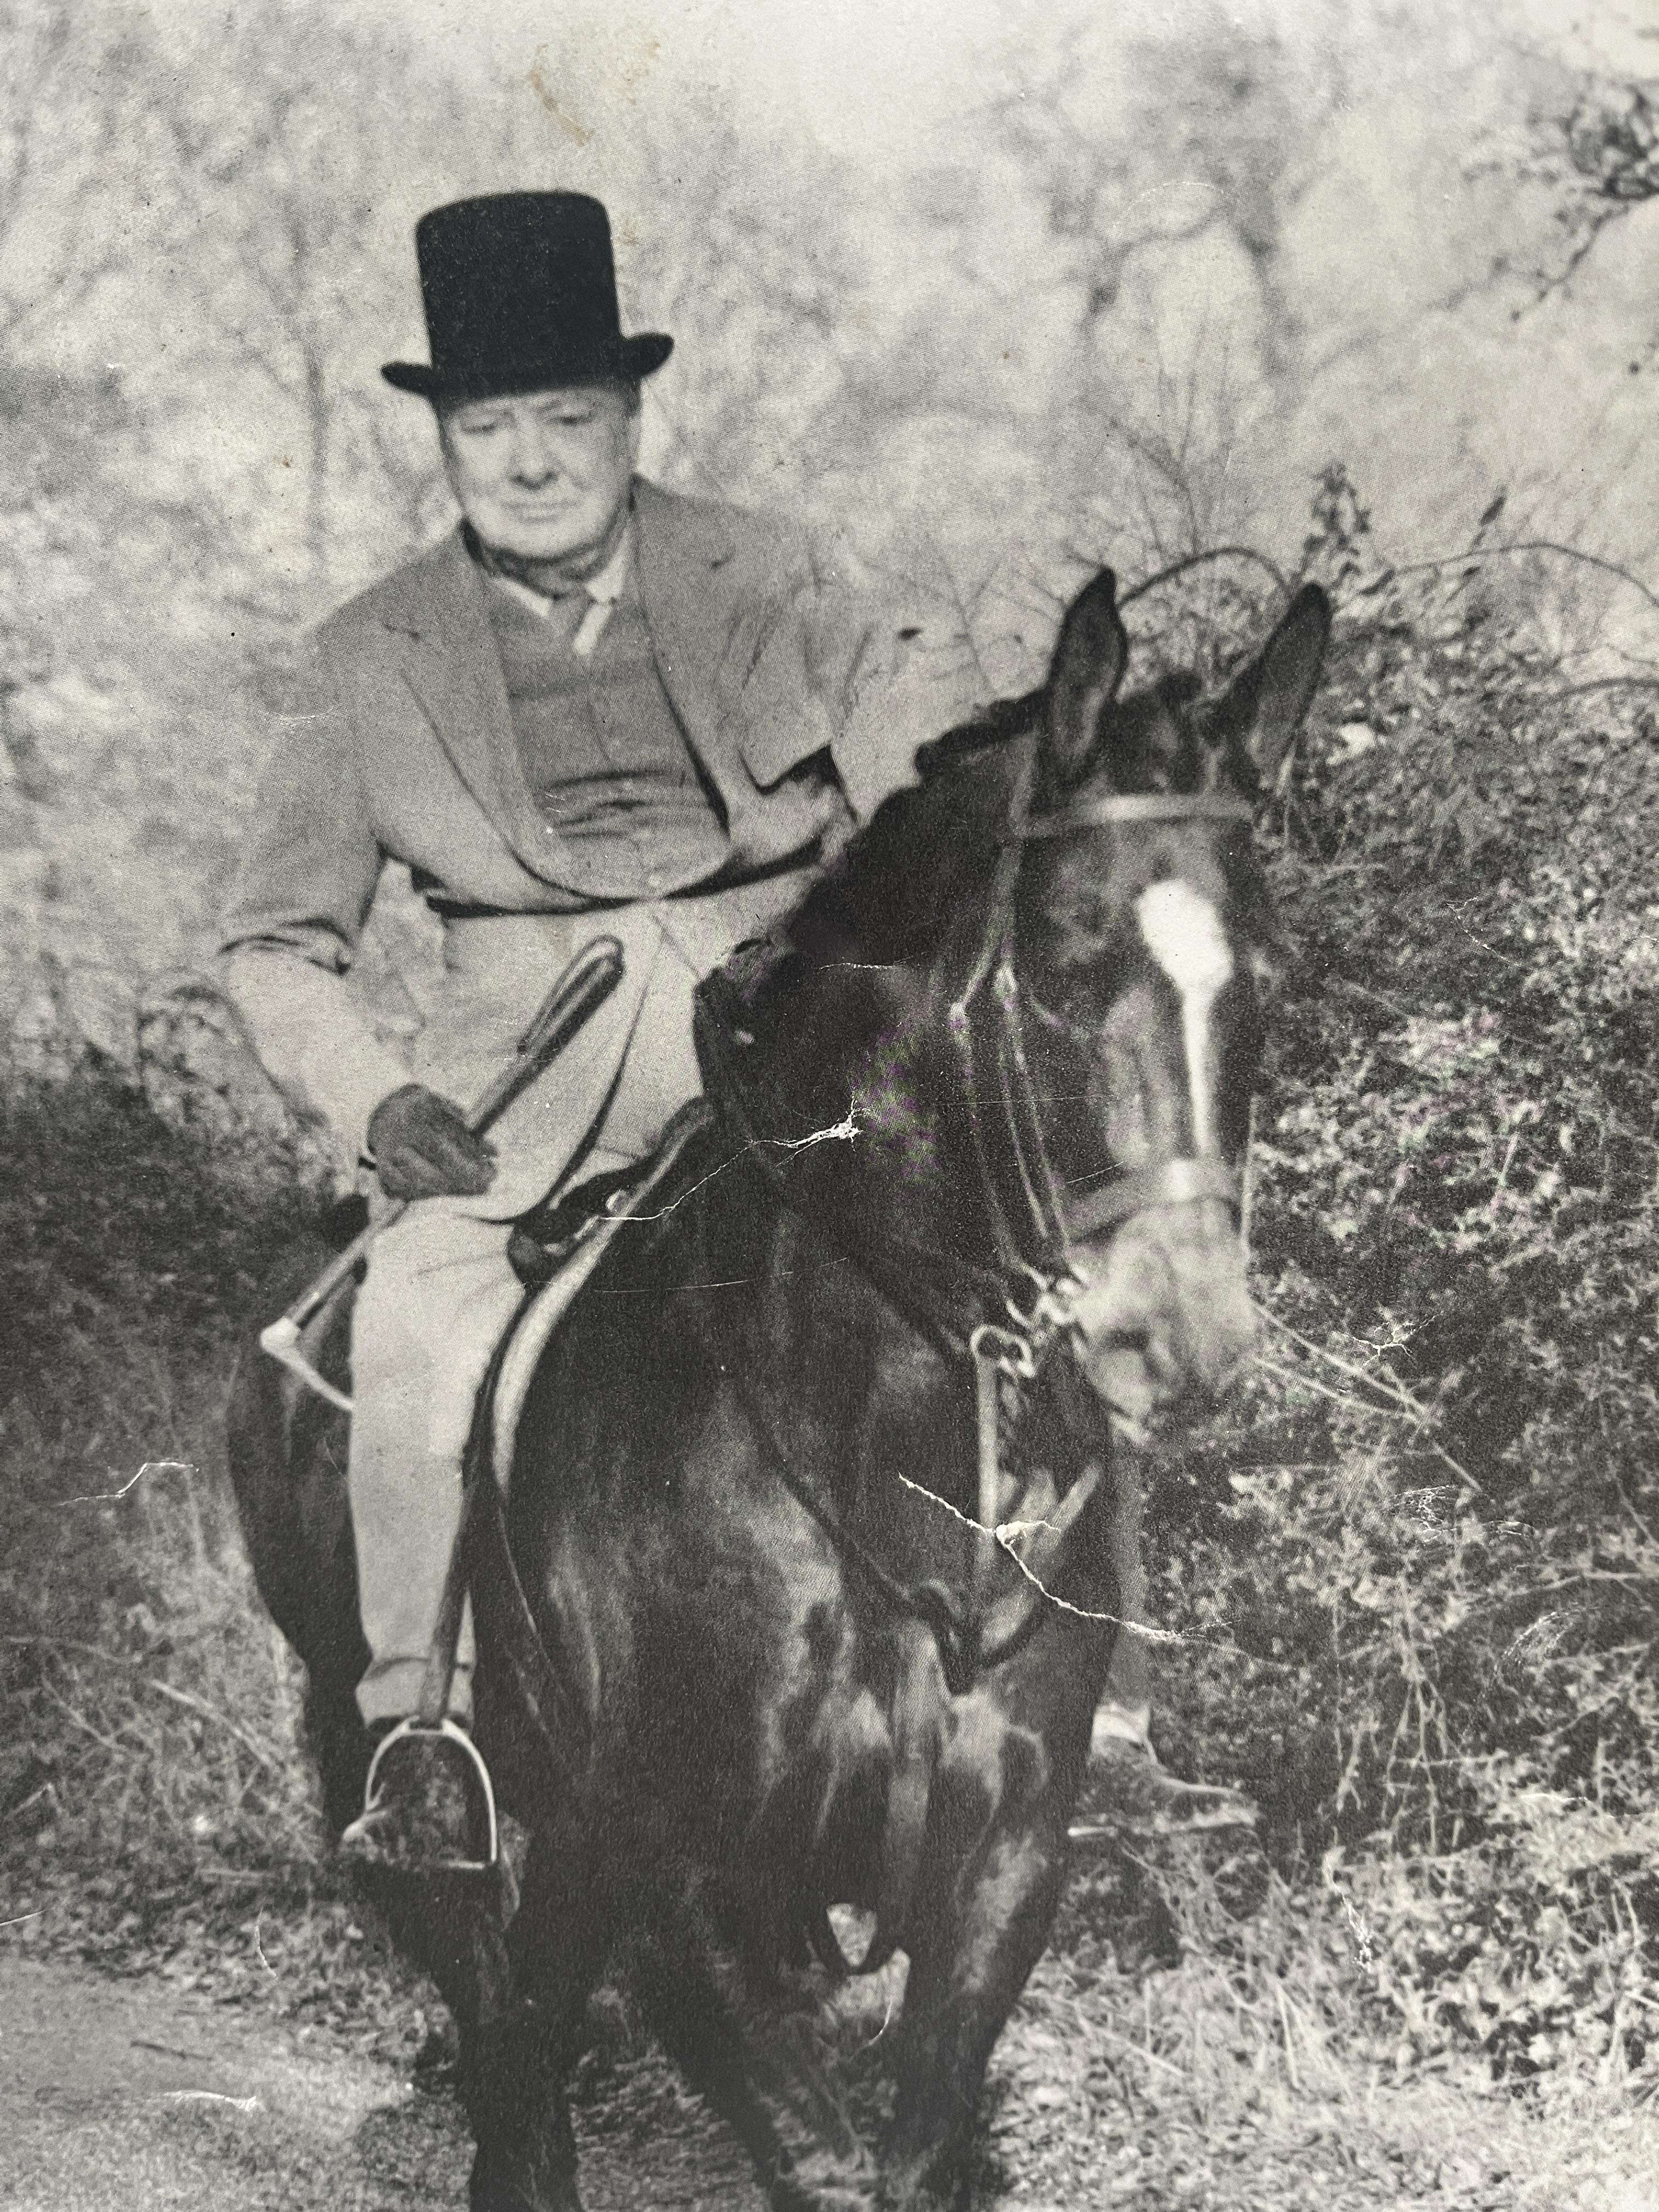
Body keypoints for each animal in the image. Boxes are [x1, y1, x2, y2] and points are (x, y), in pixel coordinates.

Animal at [228, 562, 1336, 2203]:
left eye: (1269, 976)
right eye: (1066, 970)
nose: (1184, 1335)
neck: (876, 1434)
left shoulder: (994, 1874)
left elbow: (916, 2146)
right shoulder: (688, 1880)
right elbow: (810, 2153)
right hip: (414, 1791)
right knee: (506, 2045)